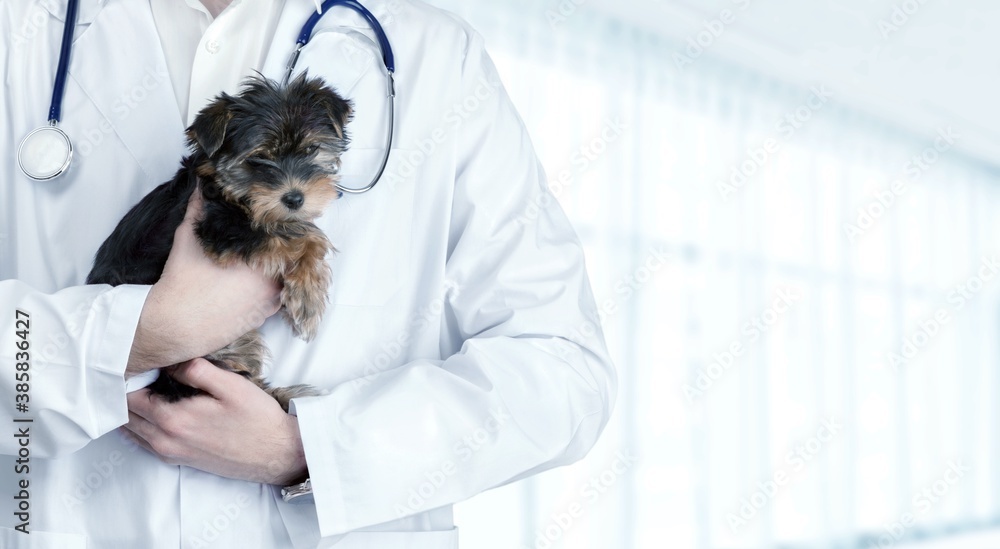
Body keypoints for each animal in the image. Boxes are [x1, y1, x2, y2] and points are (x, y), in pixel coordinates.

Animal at [86, 75, 354, 408]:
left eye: (311, 149)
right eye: (258, 159)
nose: (294, 198)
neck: (233, 192)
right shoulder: (221, 229)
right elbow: (302, 236)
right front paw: (308, 300)